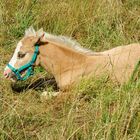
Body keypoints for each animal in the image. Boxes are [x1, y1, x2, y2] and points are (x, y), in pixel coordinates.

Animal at [3, 26, 140, 98]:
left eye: (21, 54)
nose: (6, 73)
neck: (72, 65)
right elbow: (44, 81)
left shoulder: (74, 92)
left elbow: (45, 95)